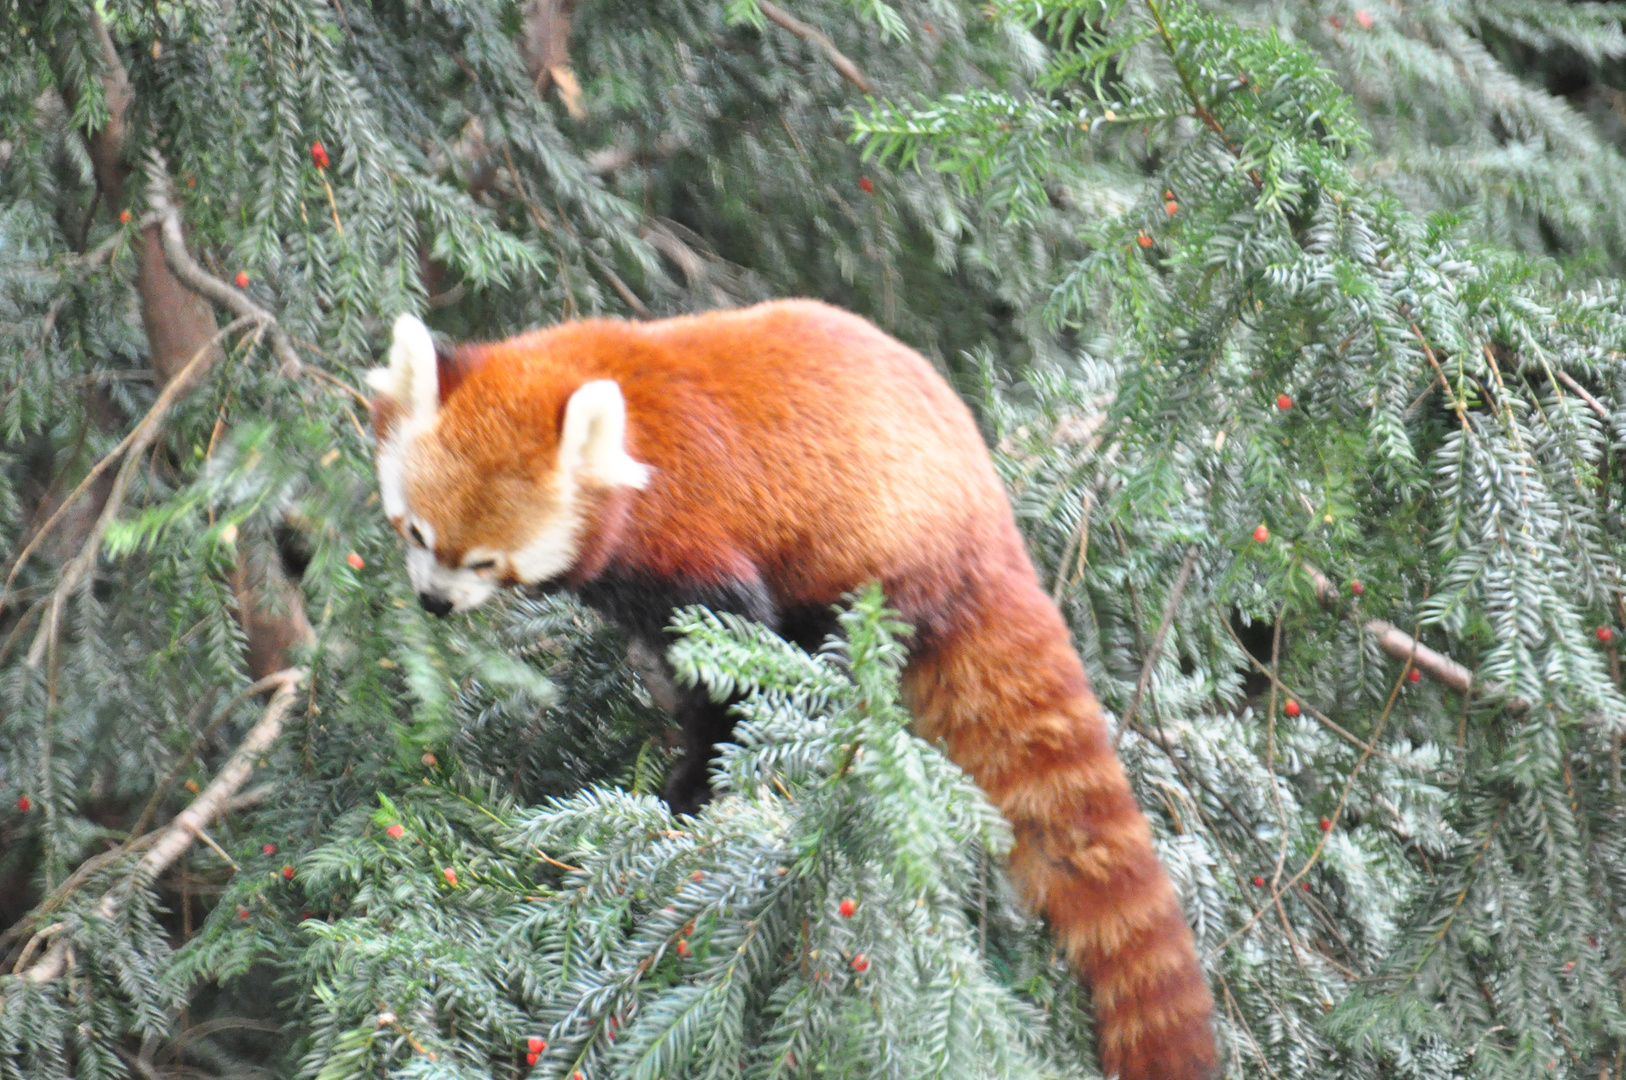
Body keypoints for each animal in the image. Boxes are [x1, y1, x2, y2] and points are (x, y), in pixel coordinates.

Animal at [365, 297, 1209, 1080]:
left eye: (487, 562)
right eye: (417, 532)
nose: (433, 602)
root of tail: (987, 525)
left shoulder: (687, 532)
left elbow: (735, 659)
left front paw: (696, 787)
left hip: (877, 569)